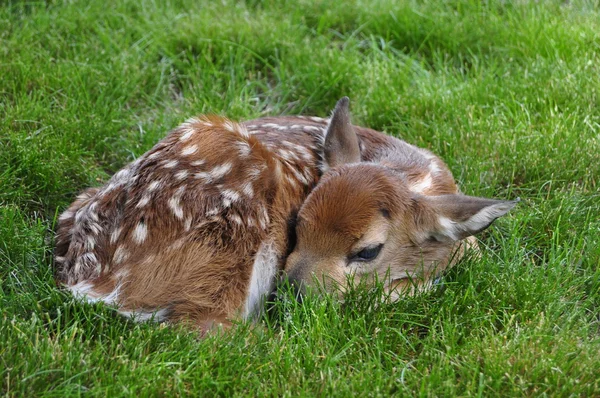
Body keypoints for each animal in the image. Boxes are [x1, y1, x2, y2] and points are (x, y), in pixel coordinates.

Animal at [54, 98, 516, 332]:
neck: (420, 176)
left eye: (368, 251)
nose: (290, 294)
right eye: (297, 224)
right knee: (210, 327)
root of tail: (92, 283)